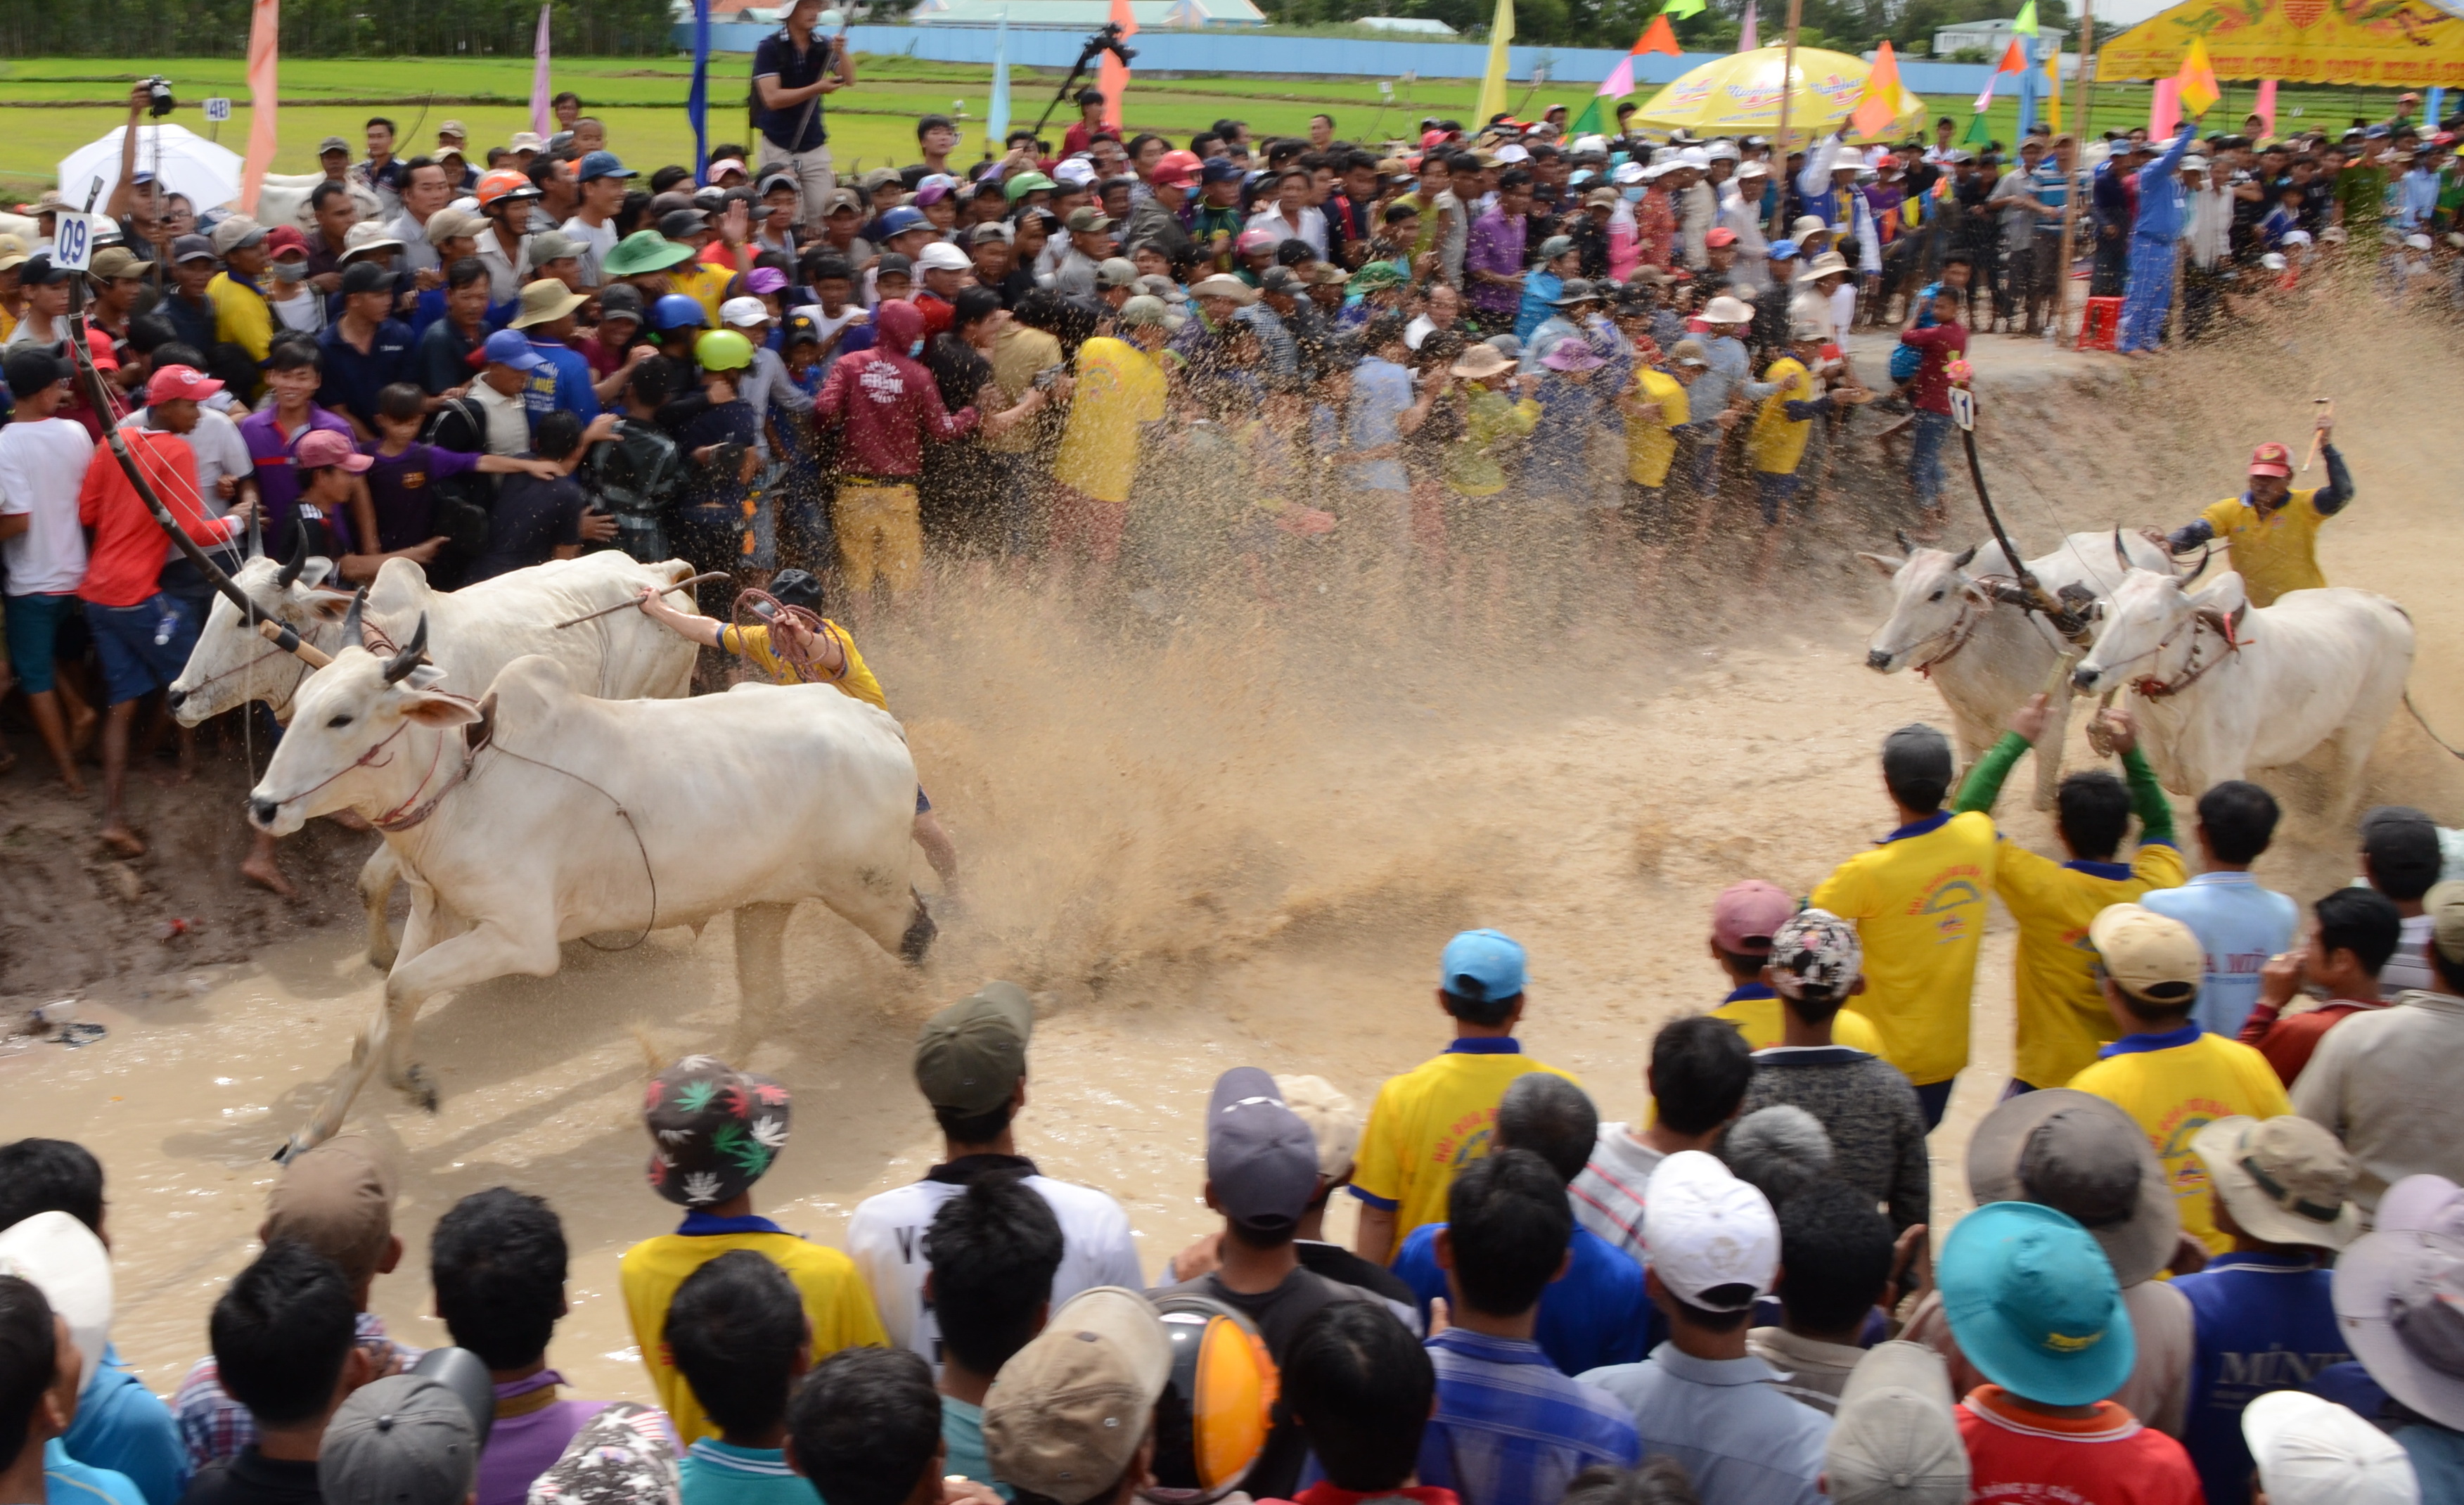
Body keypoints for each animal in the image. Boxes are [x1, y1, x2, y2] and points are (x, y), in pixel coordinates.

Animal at [174, 546, 700, 970]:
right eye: (214, 608)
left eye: (246, 619)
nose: (177, 696)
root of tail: (659, 574)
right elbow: (373, 886)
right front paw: (386, 956)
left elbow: (373, 881)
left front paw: (390, 955)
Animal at [252, 640, 931, 1158]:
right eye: (300, 708)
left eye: (341, 717)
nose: (262, 805)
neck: (466, 781)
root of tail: (875, 722)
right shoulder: (432, 914)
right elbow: (381, 1015)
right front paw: (312, 1132)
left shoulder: (521, 940)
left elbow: (400, 989)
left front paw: (412, 1081)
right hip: (765, 902)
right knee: (764, 1002)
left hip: (869, 888)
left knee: (920, 937)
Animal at [1853, 532, 2168, 812]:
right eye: (1895, 589)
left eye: (1937, 594)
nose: (1879, 656)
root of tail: (2148, 540)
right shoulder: (1967, 732)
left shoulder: (2053, 728)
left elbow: (2041, 802)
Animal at [2070, 569, 2414, 822]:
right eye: (2103, 611)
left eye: (2153, 618)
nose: (2085, 675)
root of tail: (2388, 606)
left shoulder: (2219, 779)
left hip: (2359, 736)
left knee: (2345, 792)